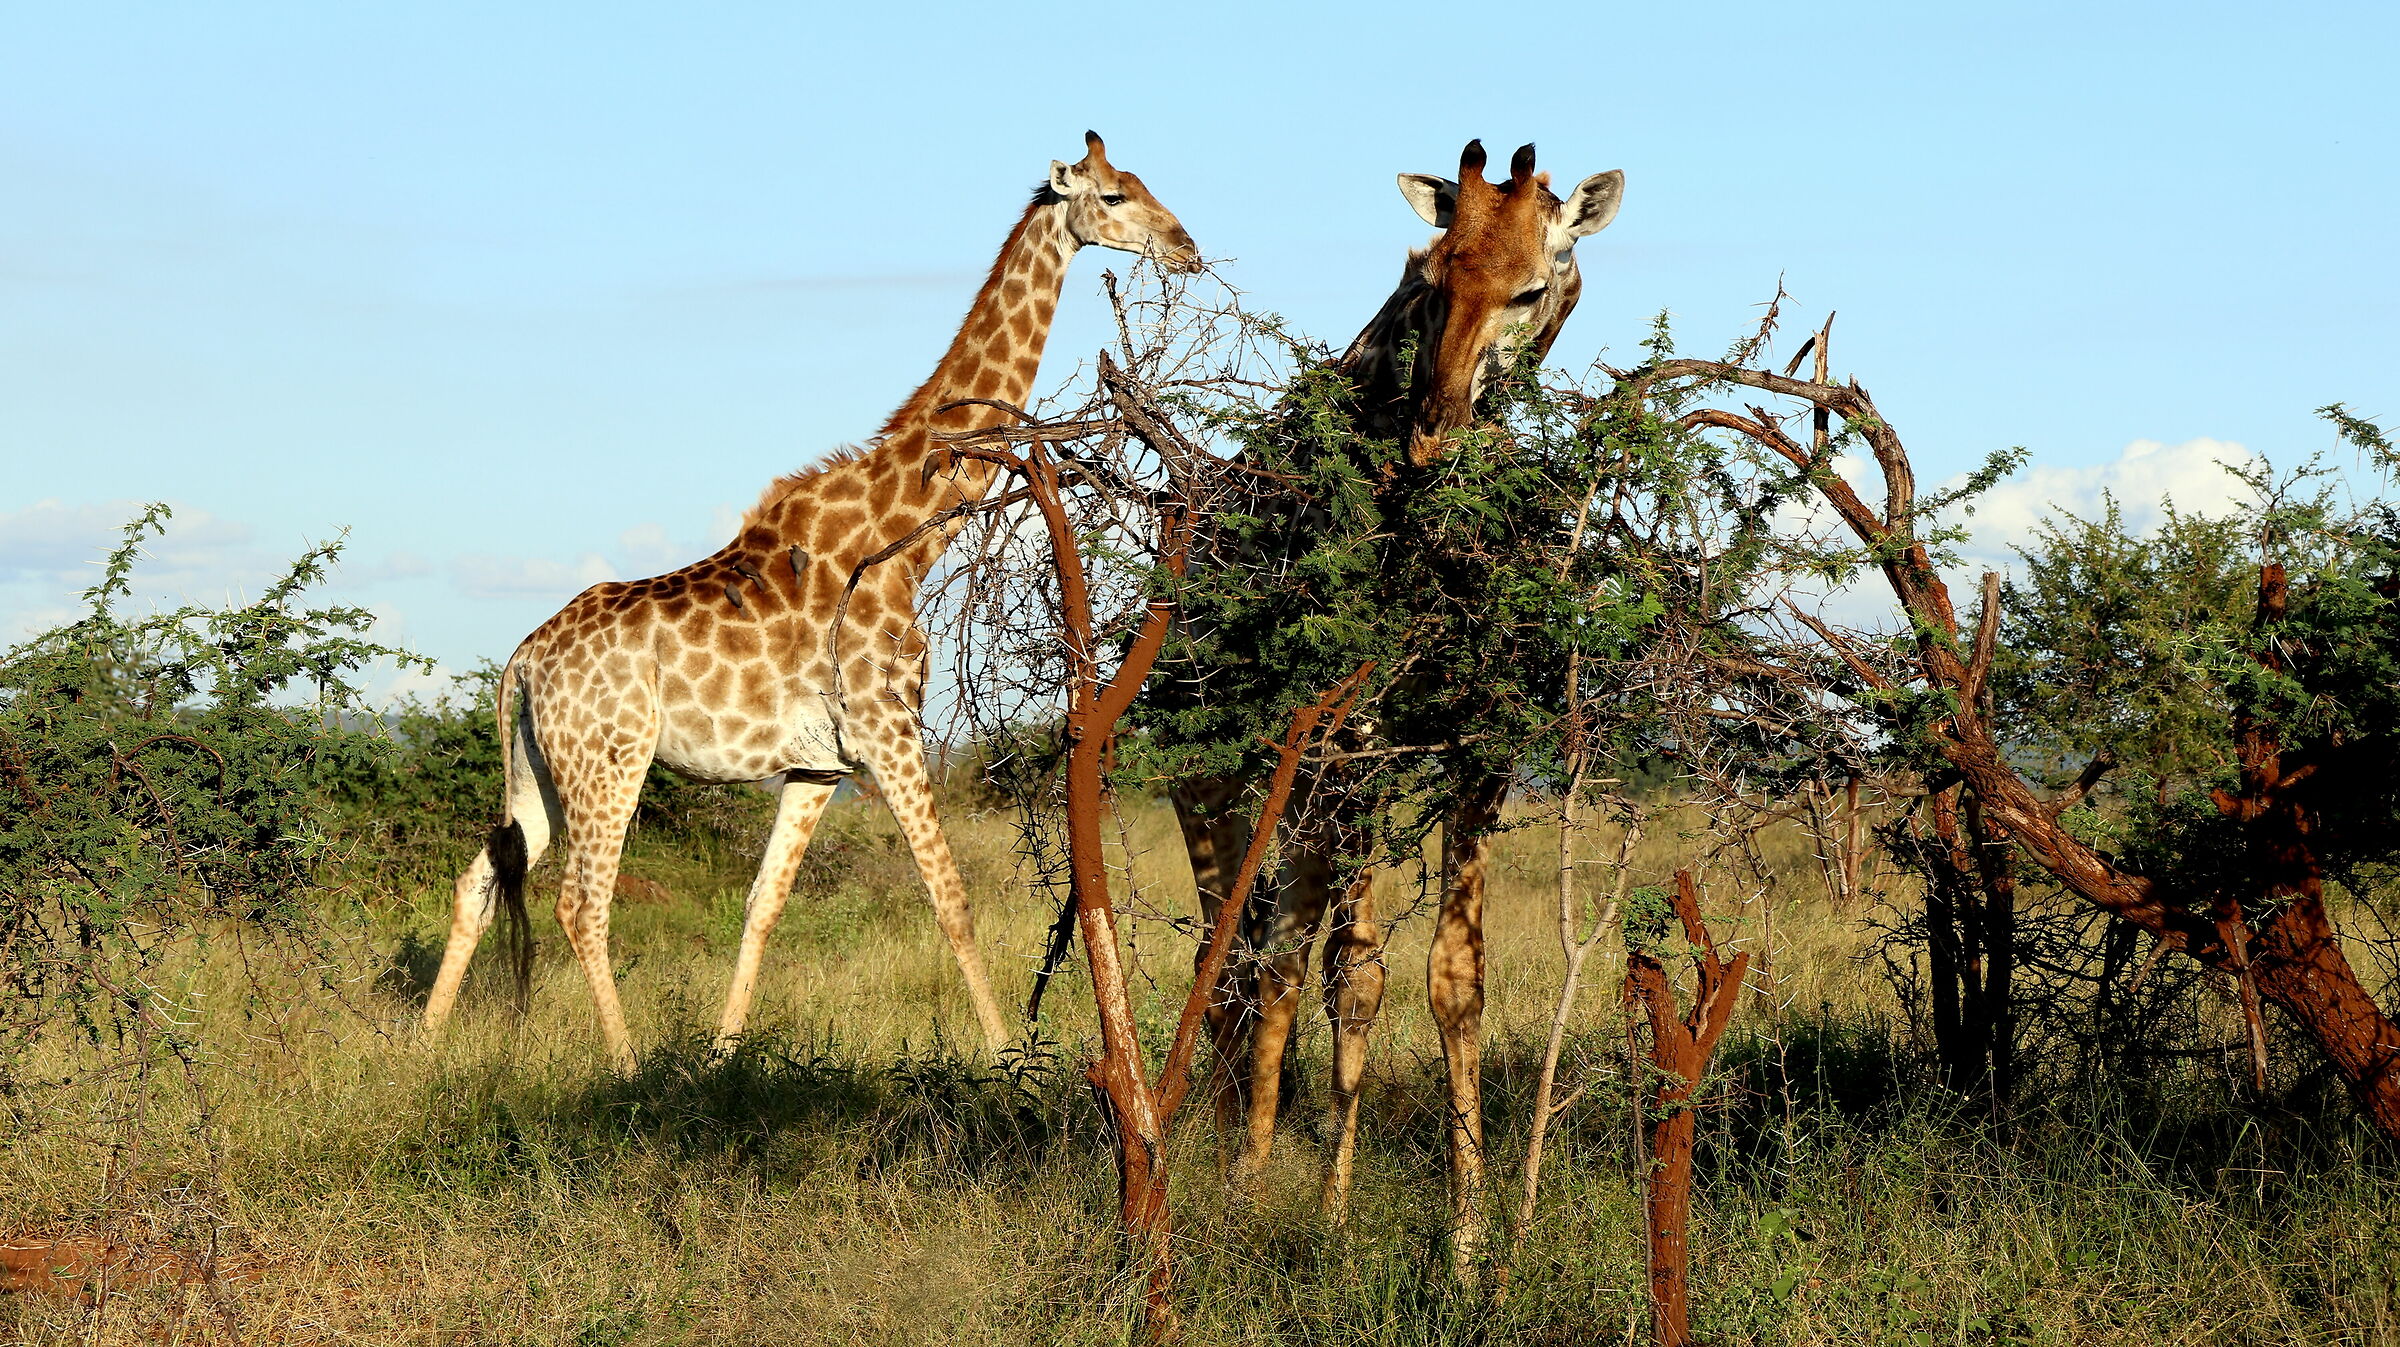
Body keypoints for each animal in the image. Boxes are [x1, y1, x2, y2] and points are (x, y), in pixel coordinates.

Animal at [420, 133, 1199, 1072]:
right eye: (1115, 195)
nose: (1190, 248)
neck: (902, 533)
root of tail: (522, 661)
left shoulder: (816, 765)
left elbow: (762, 908)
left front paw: (724, 1059)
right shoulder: (887, 729)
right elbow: (950, 897)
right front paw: (1005, 1055)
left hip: (541, 767)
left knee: (478, 879)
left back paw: (418, 1050)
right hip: (611, 760)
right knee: (581, 903)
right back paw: (626, 1067)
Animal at [1170, 140, 1621, 1264]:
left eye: (1531, 287)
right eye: (1433, 280)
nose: (1432, 441)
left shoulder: (1476, 749)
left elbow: (1455, 978)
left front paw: (1467, 1237)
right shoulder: (1354, 743)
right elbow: (1358, 977)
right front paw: (1329, 1223)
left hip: (1299, 794)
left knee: (1268, 949)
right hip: (1214, 769)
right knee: (1242, 954)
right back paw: (1232, 1168)